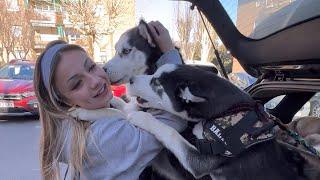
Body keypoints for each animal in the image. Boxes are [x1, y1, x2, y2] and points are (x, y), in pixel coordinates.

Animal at [125, 64, 312, 179]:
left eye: (155, 82)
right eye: (153, 74)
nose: (130, 79)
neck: (228, 111)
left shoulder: (201, 162)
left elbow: (169, 131)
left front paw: (140, 117)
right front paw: (125, 106)